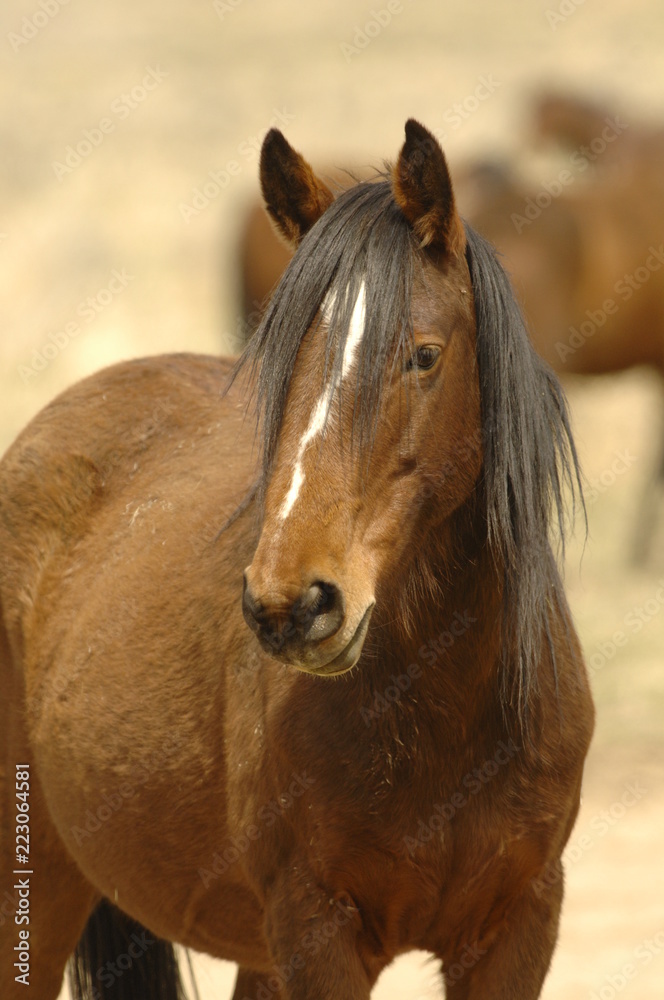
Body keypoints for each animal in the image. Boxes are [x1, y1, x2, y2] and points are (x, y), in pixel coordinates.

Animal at [0, 120, 594, 1000]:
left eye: (422, 356)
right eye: (282, 368)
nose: (291, 605)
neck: (448, 716)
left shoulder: (517, 929)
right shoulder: (317, 935)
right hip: (37, 886)